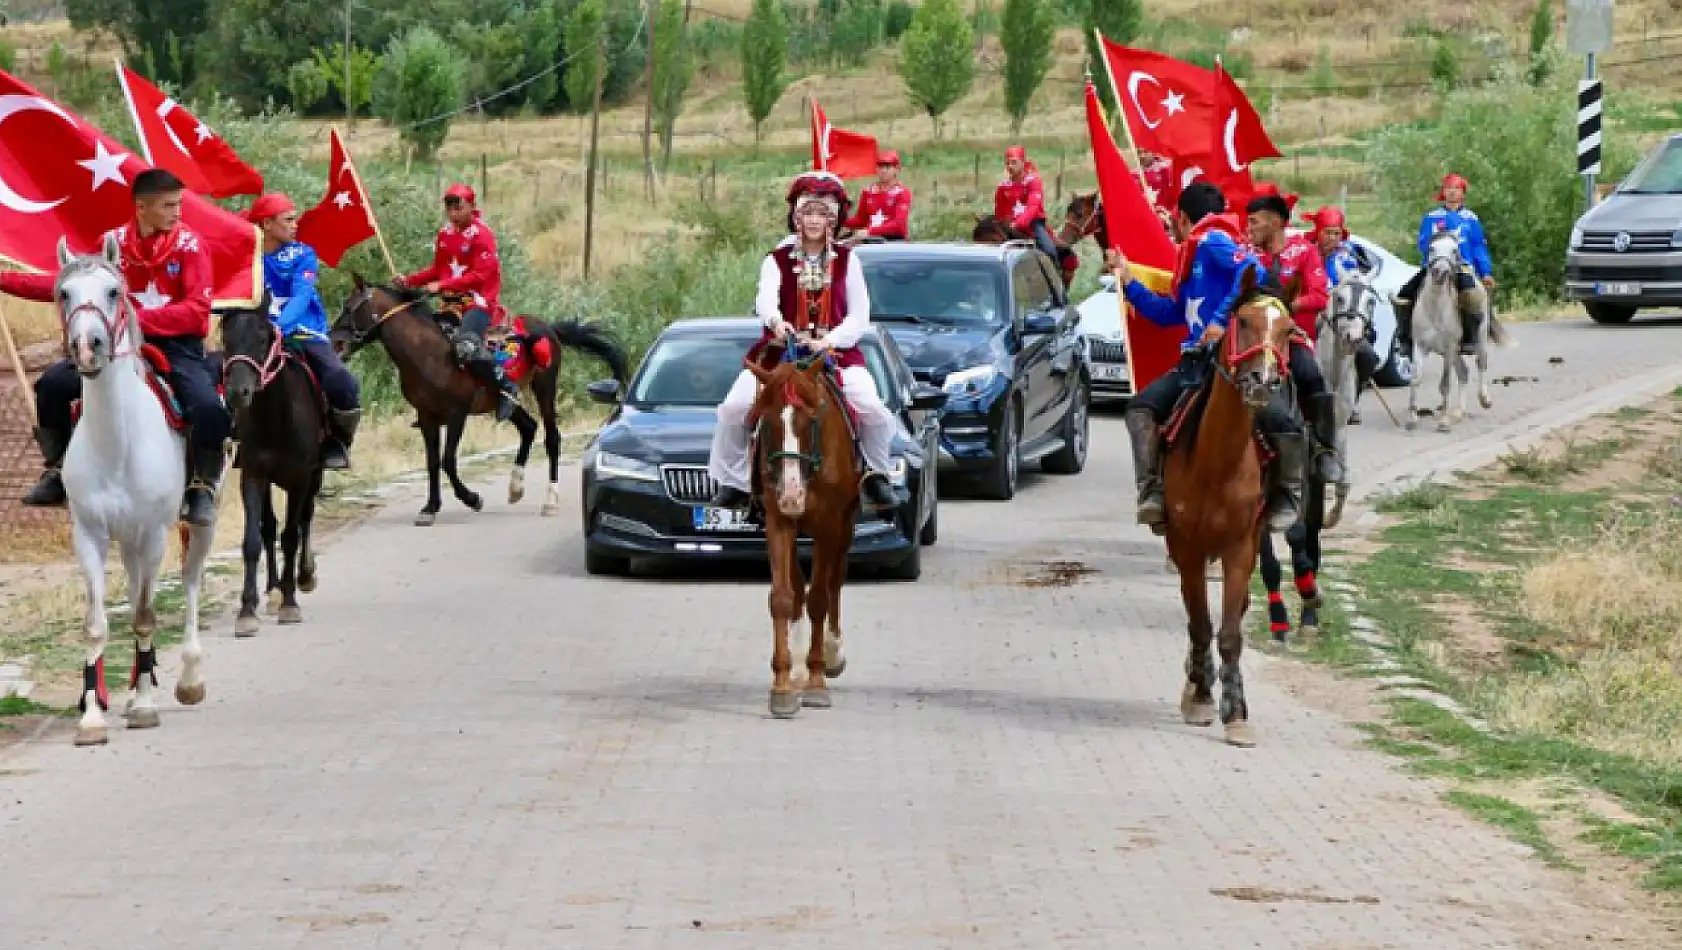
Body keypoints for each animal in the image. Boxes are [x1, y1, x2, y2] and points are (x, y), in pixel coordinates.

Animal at [51, 233, 213, 743]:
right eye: (64, 294)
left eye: (113, 292)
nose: (88, 346)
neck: (118, 441)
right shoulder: (90, 535)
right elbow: (96, 625)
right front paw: (92, 716)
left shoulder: (154, 534)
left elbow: (144, 616)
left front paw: (143, 707)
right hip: (126, 543)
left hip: (192, 528)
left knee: (190, 582)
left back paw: (188, 680)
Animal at [329, 277, 632, 531]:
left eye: (349, 307)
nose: (334, 341)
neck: (426, 353)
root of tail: (549, 328)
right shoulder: (427, 416)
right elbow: (432, 462)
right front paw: (430, 508)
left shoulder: (457, 414)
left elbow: (448, 460)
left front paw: (471, 498)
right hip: (505, 400)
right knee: (528, 427)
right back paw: (515, 487)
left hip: (545, 387)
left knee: (552, 438)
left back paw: (550, 501)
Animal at [750, 343, 854, 719]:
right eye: (766, 423)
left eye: (809, 422)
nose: (792, 494)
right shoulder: (778, 521)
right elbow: (782, 598)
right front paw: (782, 684)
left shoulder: (828, 524)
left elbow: (820, 599)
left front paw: (817, 680)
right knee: (797, 586)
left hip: (845, 525)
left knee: (834, 582)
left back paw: (833, 652)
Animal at [1163, 262, 1291, 743]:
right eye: (1245, 322)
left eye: (1289, 331)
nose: (1263, 381)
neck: (1217, 462)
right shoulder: (1187, 548)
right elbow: (1200, 623)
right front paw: (1200, 697)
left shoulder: (1240, 548)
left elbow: (1231, 633)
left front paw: (1236, 713)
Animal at [1406, 233, 1513, 433]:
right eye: (1431, 248)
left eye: (1455, 250)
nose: (1440, 272)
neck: (1435, 308)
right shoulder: (1420, 345)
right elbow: (1416, 379)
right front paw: (1412, 418)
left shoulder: (1449, 347)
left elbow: (1445, 384)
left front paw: (1443, 422)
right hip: (1454, 352)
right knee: (1463, 372)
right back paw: (1459, 412)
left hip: (1478, 339)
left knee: (1481, 363)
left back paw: (1484, 400)